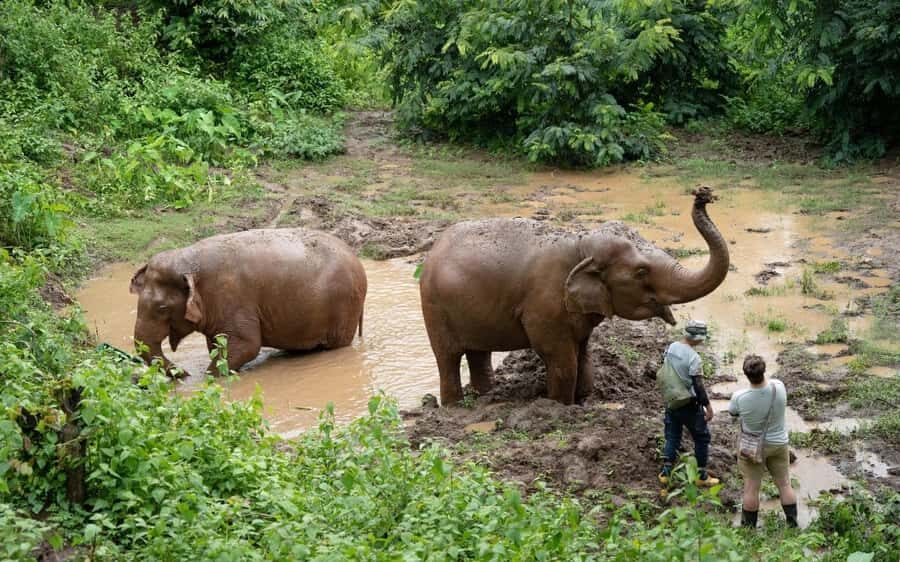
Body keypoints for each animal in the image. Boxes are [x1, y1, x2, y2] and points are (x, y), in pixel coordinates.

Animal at [129, 228, 367, 376]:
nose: (184, 373)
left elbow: (246, 346)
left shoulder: (232, 299)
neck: (189, 259)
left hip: (344, 307)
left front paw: (208, 378)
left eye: (162, 308)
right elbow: (217, 346)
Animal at [419, 187, 729, 406]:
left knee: (478, 353)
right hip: (434, 308)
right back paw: (454, 406)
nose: (703, 194)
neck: (581, 244)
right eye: (641, 272)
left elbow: (583, 353)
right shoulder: (544, 307)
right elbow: (561, 359)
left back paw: (486, 396)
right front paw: (559, 407)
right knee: (448, 358)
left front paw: (584, 400)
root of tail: (433, 250)